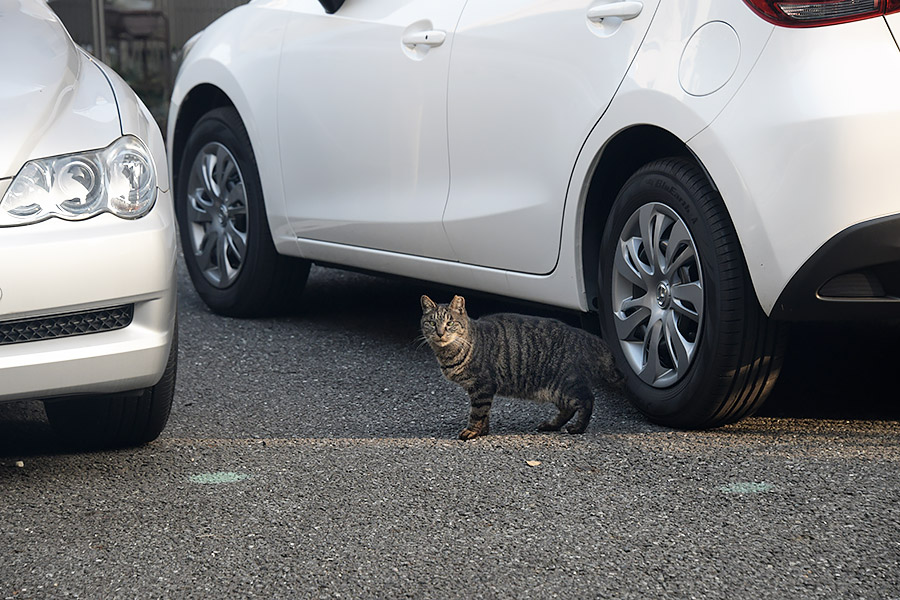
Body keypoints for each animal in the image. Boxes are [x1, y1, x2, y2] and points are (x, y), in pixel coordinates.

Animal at [420, 294, 620, 438]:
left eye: (450, 323)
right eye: (431, 323)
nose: (440, 333)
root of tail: (585, 335)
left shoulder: (482, 386)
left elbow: (477, 412)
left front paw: (472, 431)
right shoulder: (481, 390)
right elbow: (485, 413)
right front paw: (483, 431)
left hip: (567, 383)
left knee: (587, 400)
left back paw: (578, 428)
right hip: (557, 390)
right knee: (568, 408)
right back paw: (551, 425)